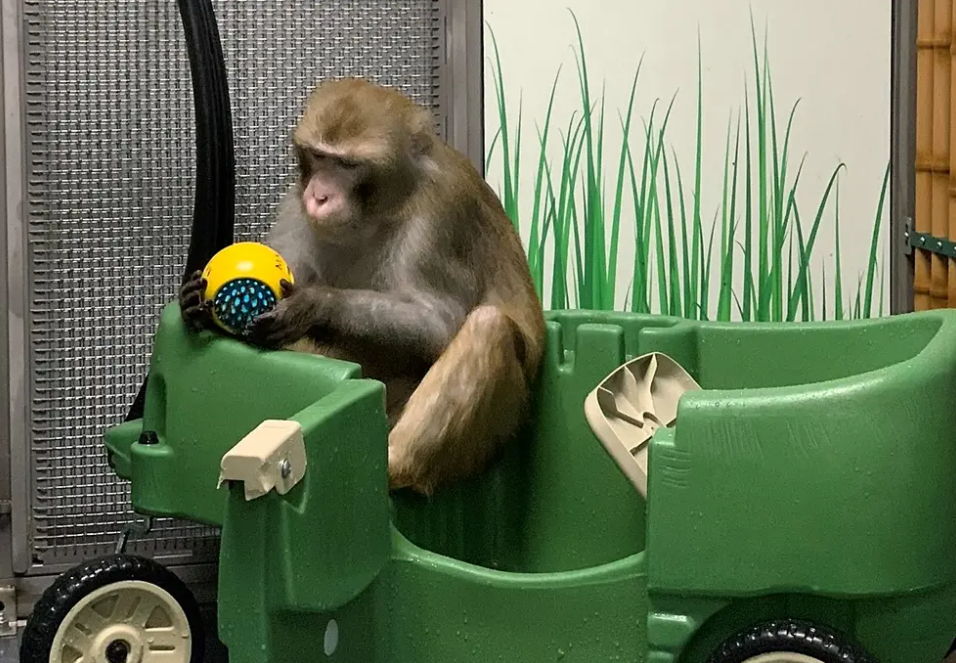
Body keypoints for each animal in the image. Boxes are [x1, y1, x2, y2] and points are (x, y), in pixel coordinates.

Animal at [179, 77, 546, 495]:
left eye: (347, 165)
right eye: (319, 157)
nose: (319, 195)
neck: (377, 211)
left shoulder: (439, 216)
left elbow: (439, 324)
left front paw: (315, 304)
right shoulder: (295, 204)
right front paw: (193, 303)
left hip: (494, 432)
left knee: (488, 326)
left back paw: (389, 466)